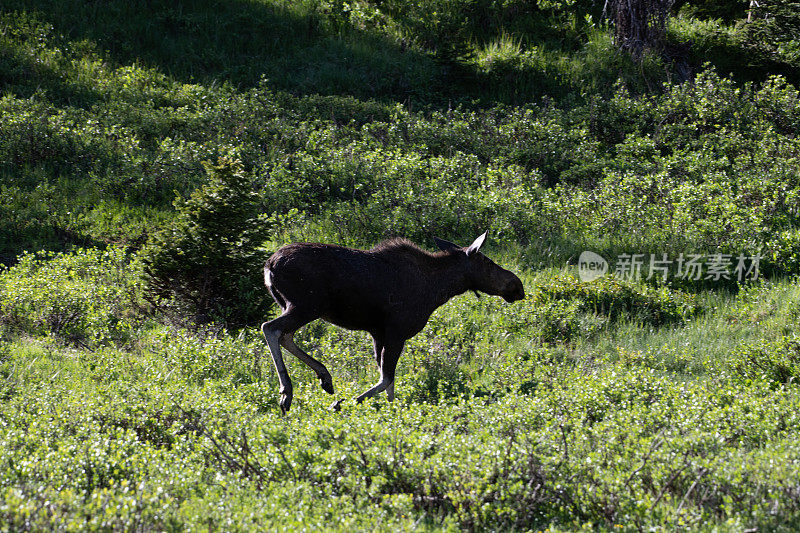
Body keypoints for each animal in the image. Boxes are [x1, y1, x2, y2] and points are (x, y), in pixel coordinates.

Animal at [260, 232, 524, 412]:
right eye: (487, 262)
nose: (517, 285)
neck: (438, 289)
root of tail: (269, 265)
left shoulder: (378, 332)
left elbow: (388, 382)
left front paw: (392, 413)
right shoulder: (397, 331)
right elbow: (387, 377)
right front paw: (344, 404)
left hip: (294, 306)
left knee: (285, 335)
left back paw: (324, 377)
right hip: (306, 305)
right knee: (271, 328)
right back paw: (287, 391)